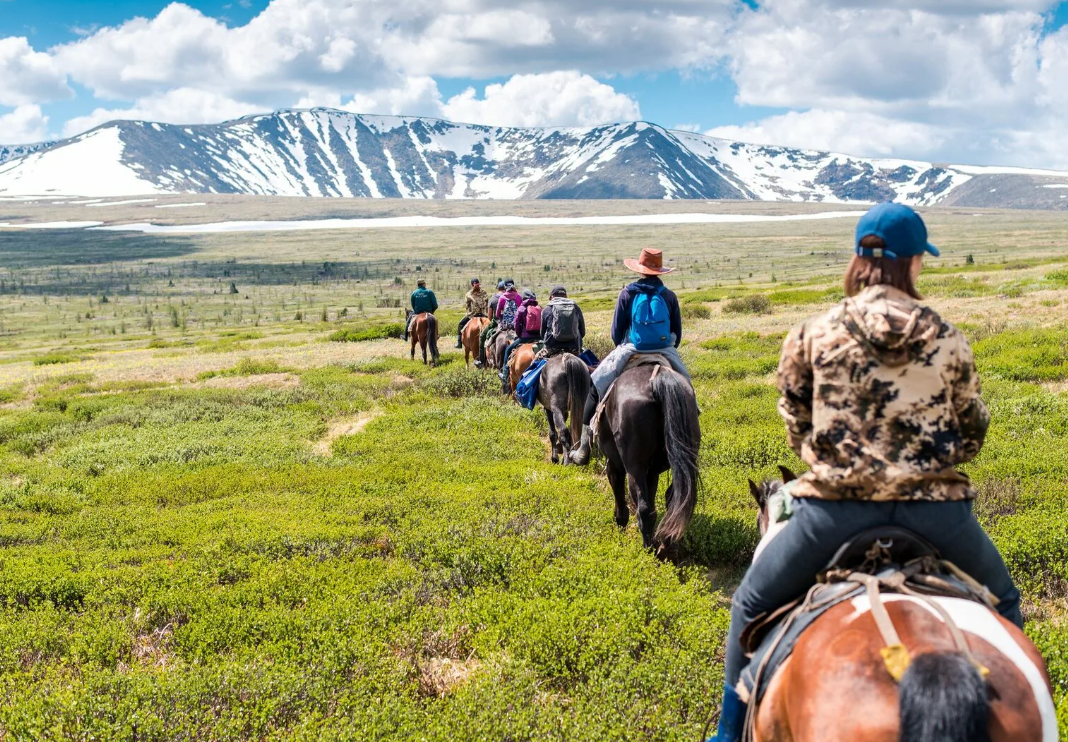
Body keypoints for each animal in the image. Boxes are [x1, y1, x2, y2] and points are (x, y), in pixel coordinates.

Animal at [593, 365, 700, 550]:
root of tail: (658, 379)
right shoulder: (652, 473)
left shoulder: (613, 466)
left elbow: (620, 496)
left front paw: (620, 524)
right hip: (683, 462)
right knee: (674, 500)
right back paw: (666, 544)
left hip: (635, 468)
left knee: (643, 509)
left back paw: (648, 548)